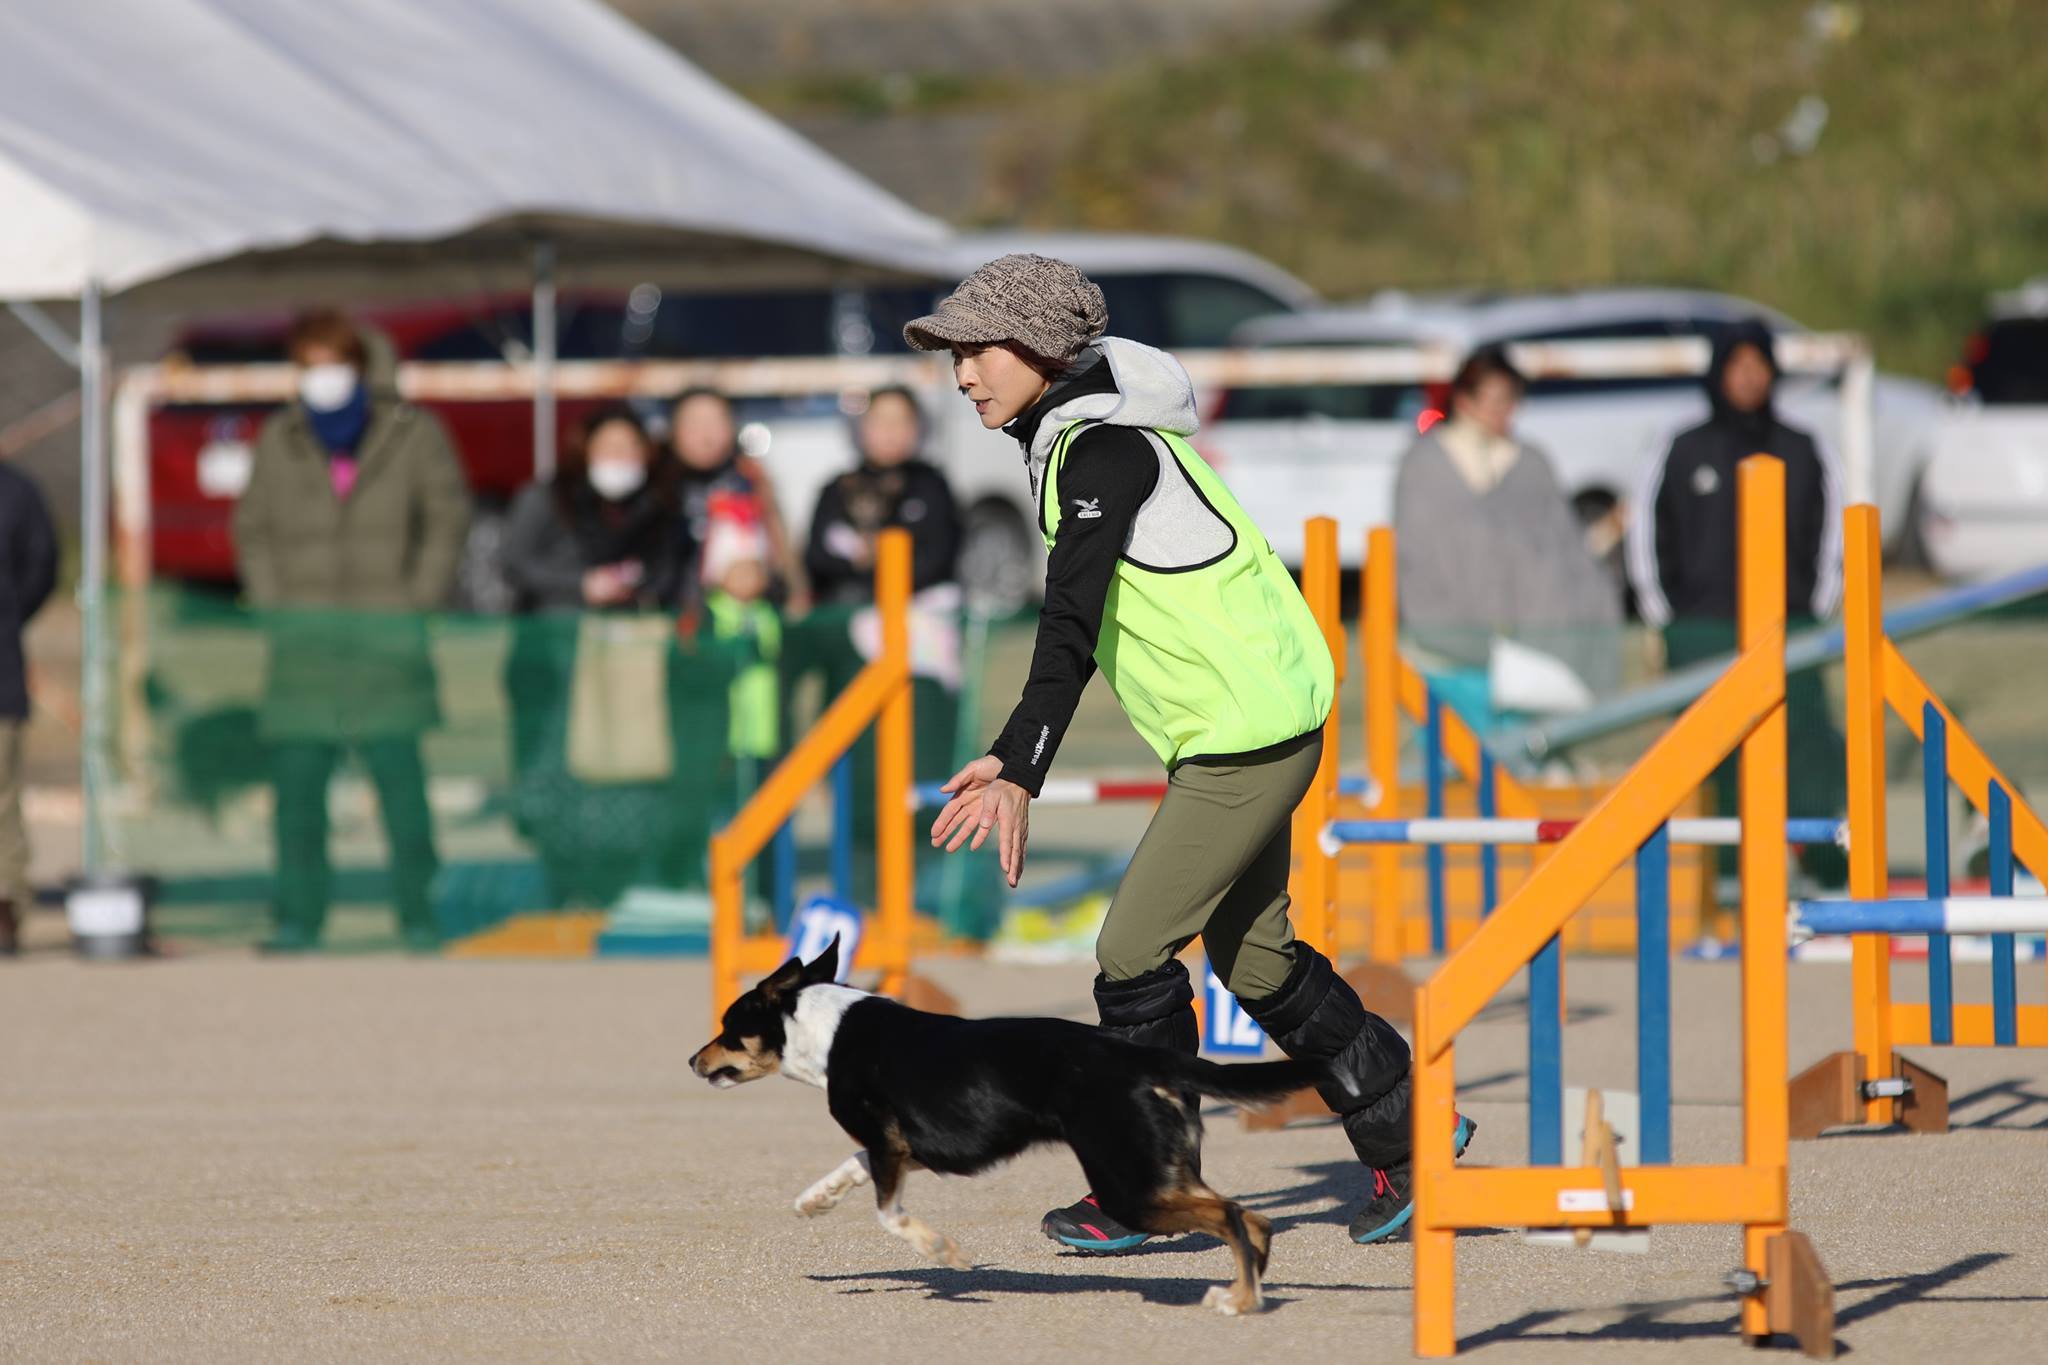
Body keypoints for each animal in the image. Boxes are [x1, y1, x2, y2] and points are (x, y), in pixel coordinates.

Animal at [688, 941, 1327, 1309]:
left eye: (727, 1027)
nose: (693, 1060)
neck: (828, 1029)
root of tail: (1135, 1055)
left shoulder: (893, 1143)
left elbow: (889, 1214)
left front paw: (943, 1254)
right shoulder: (902, 1145)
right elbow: (852, 1167)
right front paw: (814, 1200)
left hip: (1131, 1184)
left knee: (1232, 1215)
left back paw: (1239, 1301)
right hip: (1156, 1171)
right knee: (1254, 1218)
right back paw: (1251, 1290)